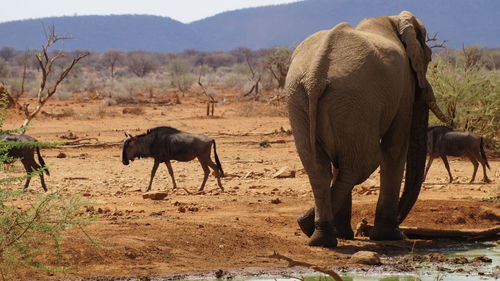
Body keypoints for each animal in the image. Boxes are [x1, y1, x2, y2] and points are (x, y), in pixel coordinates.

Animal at [288, 10, 452, 246]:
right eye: (429, 58)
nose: (403, 228)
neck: (393, 21)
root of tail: (315, 76)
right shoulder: (404, 87)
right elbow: (395, 148)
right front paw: (390, 236)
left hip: (305, 100)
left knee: (320, 168)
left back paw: (317, 234)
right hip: (354, 101)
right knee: (360, 165)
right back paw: (316, 231)